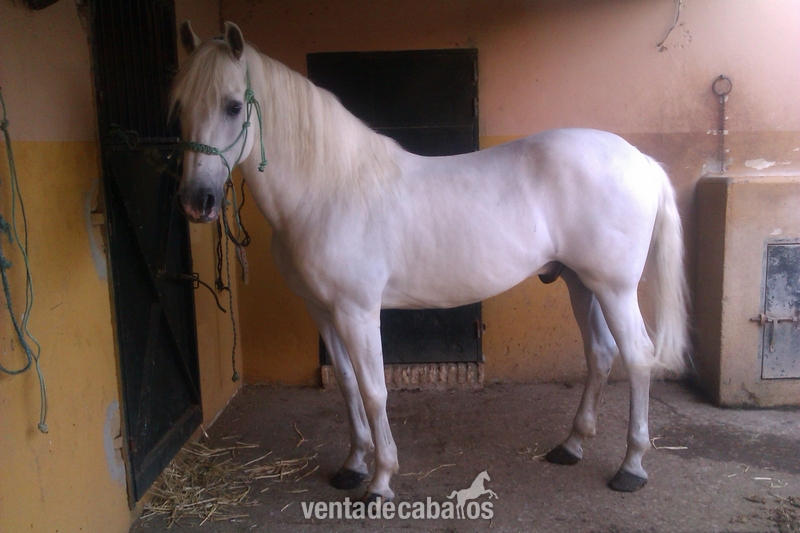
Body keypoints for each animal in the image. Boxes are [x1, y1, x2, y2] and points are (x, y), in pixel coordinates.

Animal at [171, 21, 689, 502]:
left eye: (233, 106)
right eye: (179, 109)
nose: (198, 202)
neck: (328, 191)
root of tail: (640, 159)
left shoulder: (358, 312)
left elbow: (374, 390)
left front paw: (380, 481)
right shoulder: (322, 311)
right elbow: (347, 384)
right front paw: (353, 466)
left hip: (615, 288)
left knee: (637, 356)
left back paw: (631, 467)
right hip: (581, 283)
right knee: (600, 353)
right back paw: (572, 446)